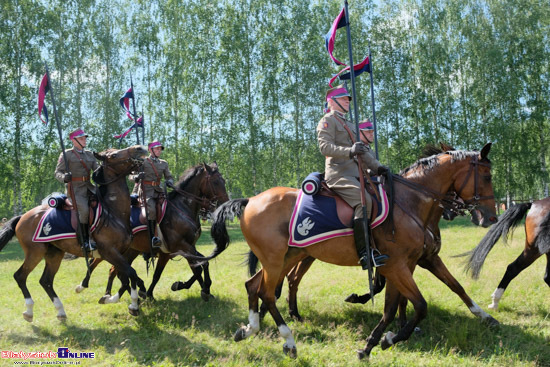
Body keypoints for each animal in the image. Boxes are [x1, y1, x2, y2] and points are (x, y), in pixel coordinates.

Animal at [0, 145, 148, 320]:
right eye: (114, 155)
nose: (140, 148)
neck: (113, 212)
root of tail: (23, 216)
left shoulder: (120, 253)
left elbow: (126, 278)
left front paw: (115, 299)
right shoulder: (110, 252)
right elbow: (130, 274)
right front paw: (130, 303)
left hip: (54, 253)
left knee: (45, 280)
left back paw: (60, 311)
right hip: (34, 252)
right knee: (20, 276)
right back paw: (29, 311)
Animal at [74, 162, 230, 304]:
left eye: (224, 181)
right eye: (216, 181)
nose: (226, 203)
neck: (182, 208)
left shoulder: (176, 251)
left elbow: (193, 266)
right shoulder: (183, 246)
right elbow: (199, 267)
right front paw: (203, 289)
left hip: (128, 251)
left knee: (116, 271)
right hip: (114, 250)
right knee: (105, 267)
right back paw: (89, 287)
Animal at [189, 143, 500, 360]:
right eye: (486, 176)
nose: (490, 217)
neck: (409, 203)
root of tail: (251, 200)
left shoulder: (408, 264)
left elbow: (440, 291)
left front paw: (374, 343)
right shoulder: (397, 266)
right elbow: (418, 306)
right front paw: (389, 339)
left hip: (284, 257)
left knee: (254, 286)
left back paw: (250, 328)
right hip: (277, 260)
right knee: (267, 292)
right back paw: (288, 340)